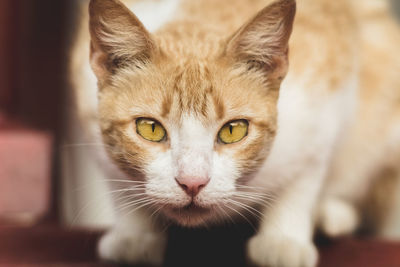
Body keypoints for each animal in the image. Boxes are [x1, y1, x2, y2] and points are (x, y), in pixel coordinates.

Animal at [68, 0, 400, 266]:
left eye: (232, 130)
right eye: (150, 128)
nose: (192, 183)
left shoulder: (324, 101)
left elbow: (303, 178)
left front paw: (282, 240)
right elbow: (119, 184)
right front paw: (134, 235)